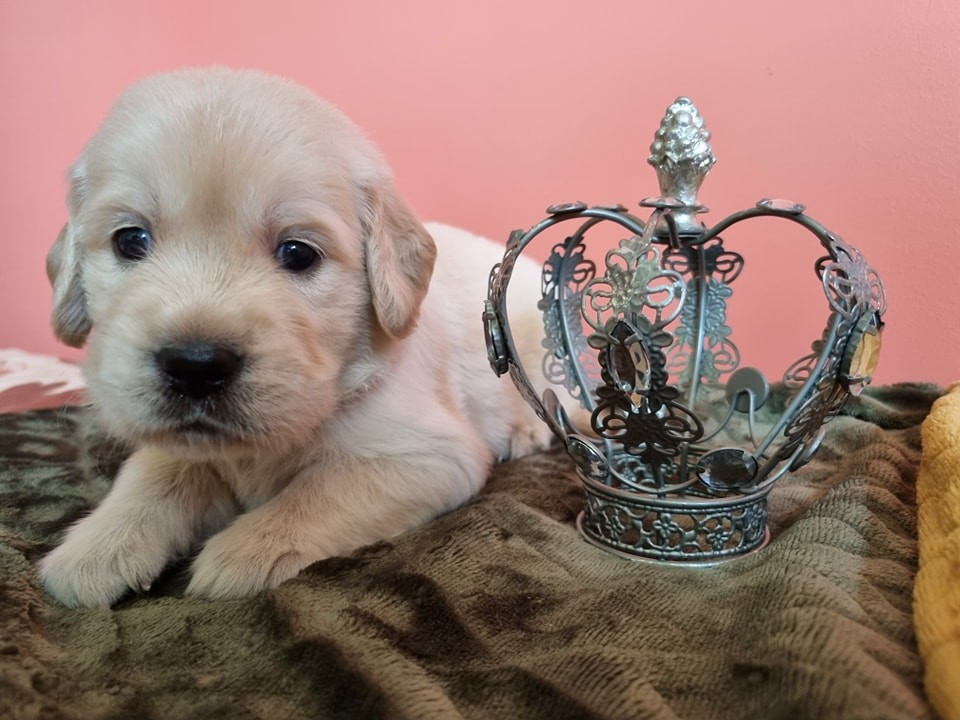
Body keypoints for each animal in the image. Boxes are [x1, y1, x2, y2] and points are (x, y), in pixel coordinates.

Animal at [40, 68, 552, 608]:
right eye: (130, 240)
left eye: (298, 253)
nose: (196, 365)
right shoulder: (184, 443)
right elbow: (157, 473)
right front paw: (100, 545)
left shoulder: (429, 454)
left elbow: (316, 493)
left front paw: (243, 551)